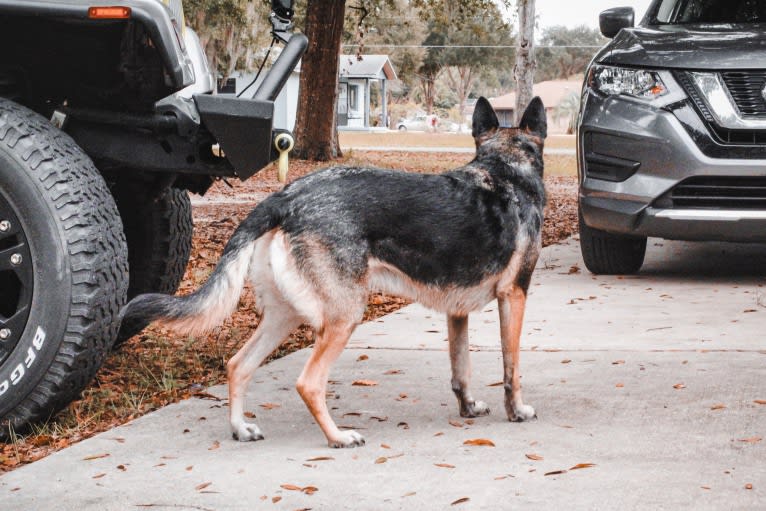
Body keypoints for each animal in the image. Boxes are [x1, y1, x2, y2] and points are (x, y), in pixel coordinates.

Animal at [121, 96, 544, 448]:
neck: (506, 168)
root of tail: (286, 197)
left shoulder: (456, 312)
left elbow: (461, 371)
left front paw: (468, 408)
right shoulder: (514, 295)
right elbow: (512, 366)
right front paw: (517, 411)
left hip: (284, 316)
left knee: (238, 365)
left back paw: (241, 428)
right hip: (344, 317)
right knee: (308, 383)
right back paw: (338, 437)